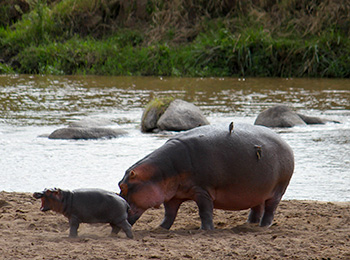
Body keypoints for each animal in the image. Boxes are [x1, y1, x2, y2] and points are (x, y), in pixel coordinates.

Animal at [119, 123, 294, 231]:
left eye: (123, 186)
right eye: (119, 183)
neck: (161, 172)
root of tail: (286, 144)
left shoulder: (202, 191)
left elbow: (204, 211)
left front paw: (205, 229)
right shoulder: (172, 196)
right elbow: (169, 214)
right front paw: (160, 228)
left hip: (278, 190)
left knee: (270, 209)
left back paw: (264, 226)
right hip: (257, 190)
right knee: (256, 207)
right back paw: (249, 224)